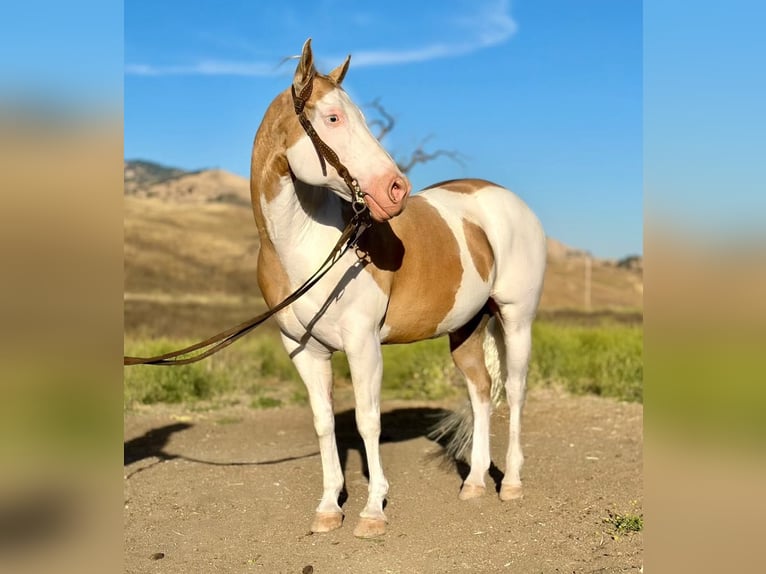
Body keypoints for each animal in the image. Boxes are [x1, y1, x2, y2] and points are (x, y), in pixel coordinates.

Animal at [250, 39, 546, 538]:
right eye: (333, 118)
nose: (395, 189)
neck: (308, 246)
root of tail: (507, 200)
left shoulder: (363, 343)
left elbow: (368, 423)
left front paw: (373, 512)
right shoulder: (303, 349)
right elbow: (324, 423)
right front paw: (329, 507)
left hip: (515, 318)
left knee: (516, 391)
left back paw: (512, 484)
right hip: (466, 328)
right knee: (481, 392)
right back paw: (474, 484)